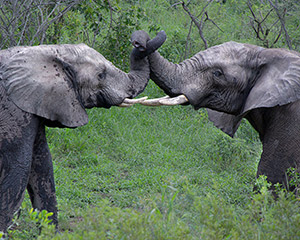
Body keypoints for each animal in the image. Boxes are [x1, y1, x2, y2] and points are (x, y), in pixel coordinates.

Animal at [0, 30, 165, 232]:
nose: (138, 42)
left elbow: (42, 163)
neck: (44, 51)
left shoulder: (34, 102)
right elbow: (20, 166)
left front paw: (49, 233)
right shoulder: (13, 108)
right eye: (101, 75)